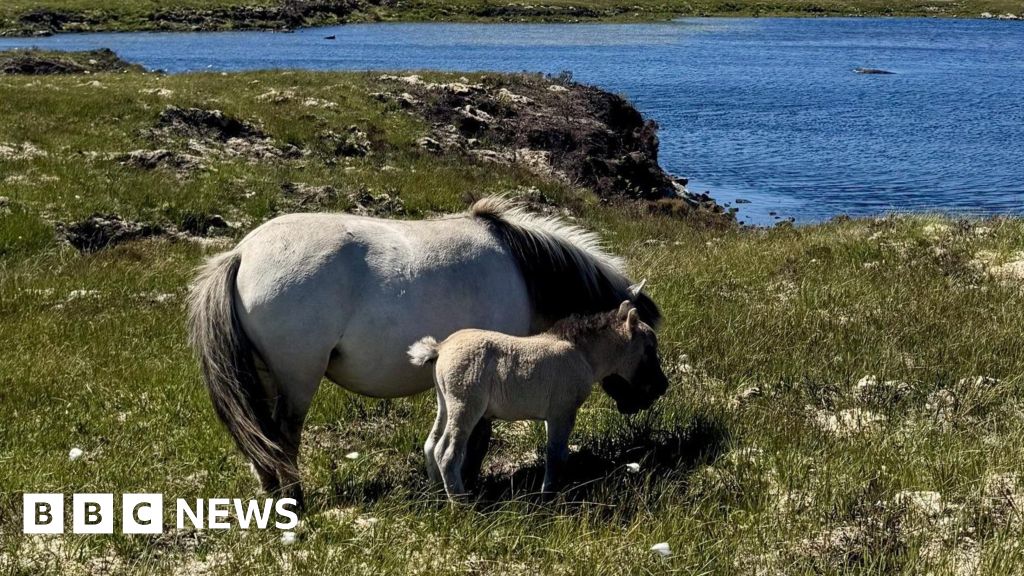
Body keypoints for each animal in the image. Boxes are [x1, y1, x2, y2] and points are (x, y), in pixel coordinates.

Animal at [408, 300, 668, 499]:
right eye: (649, 348)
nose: (663, 386)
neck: (581, 353)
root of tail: (441, 347)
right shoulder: (563, 412)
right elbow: (555, 455)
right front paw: (548, 497)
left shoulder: (552, 416)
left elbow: (558, 452)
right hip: (465, 407)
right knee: (447, 453)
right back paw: (460, 503)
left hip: (445, 404)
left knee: (431, 445)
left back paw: (437, 495)